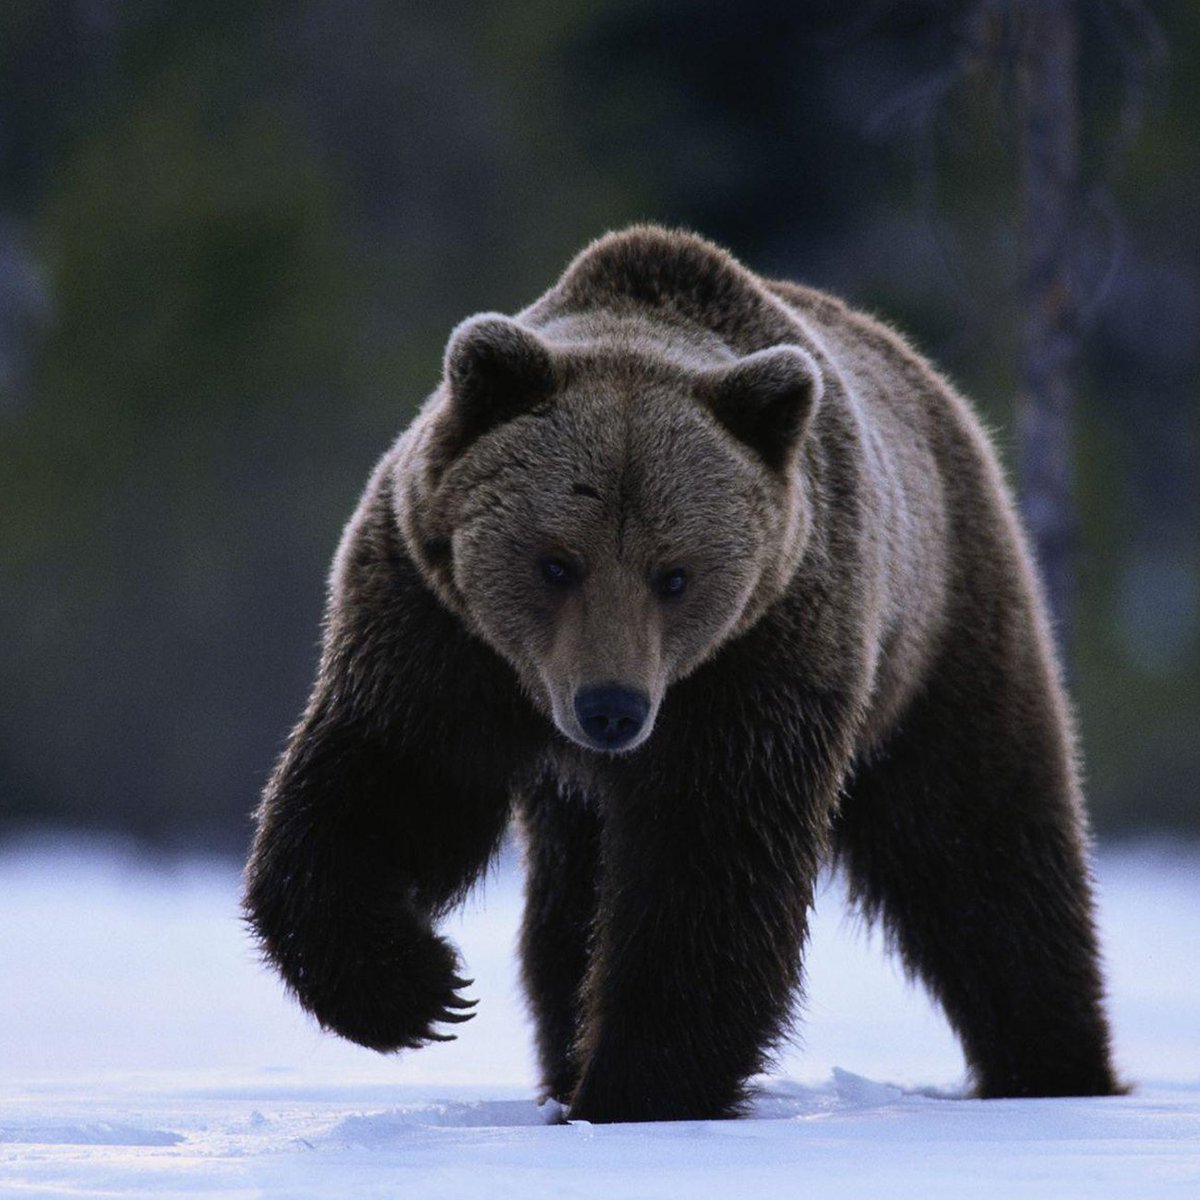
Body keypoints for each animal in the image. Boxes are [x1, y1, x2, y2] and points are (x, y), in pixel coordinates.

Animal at [244, 225, 1119, 1123]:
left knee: (980, 848)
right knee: (566, 909)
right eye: (557, 562)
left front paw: (636, 1087)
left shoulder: (761, 656)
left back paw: (1053, 1066)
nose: (611, 708)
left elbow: (708, 862)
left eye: (675, 574)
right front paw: (417, 989)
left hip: (942, 632)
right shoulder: (437, 629)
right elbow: (389, 782)